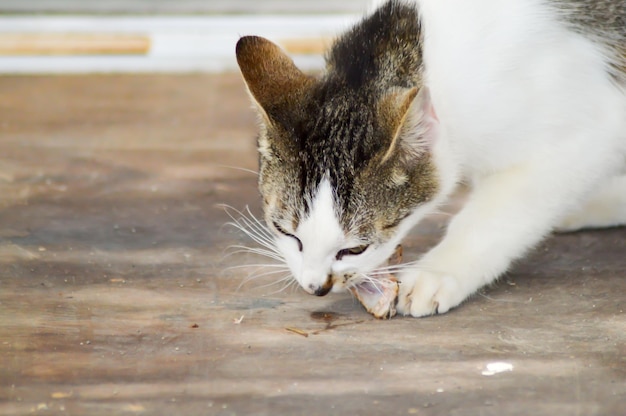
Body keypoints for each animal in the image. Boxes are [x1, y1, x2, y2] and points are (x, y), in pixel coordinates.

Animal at [235, 0, 624, 316]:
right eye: (286, 232)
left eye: (355, 249)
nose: (315, 286)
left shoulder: (591, 129)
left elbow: (500, 213)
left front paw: (438, 272)